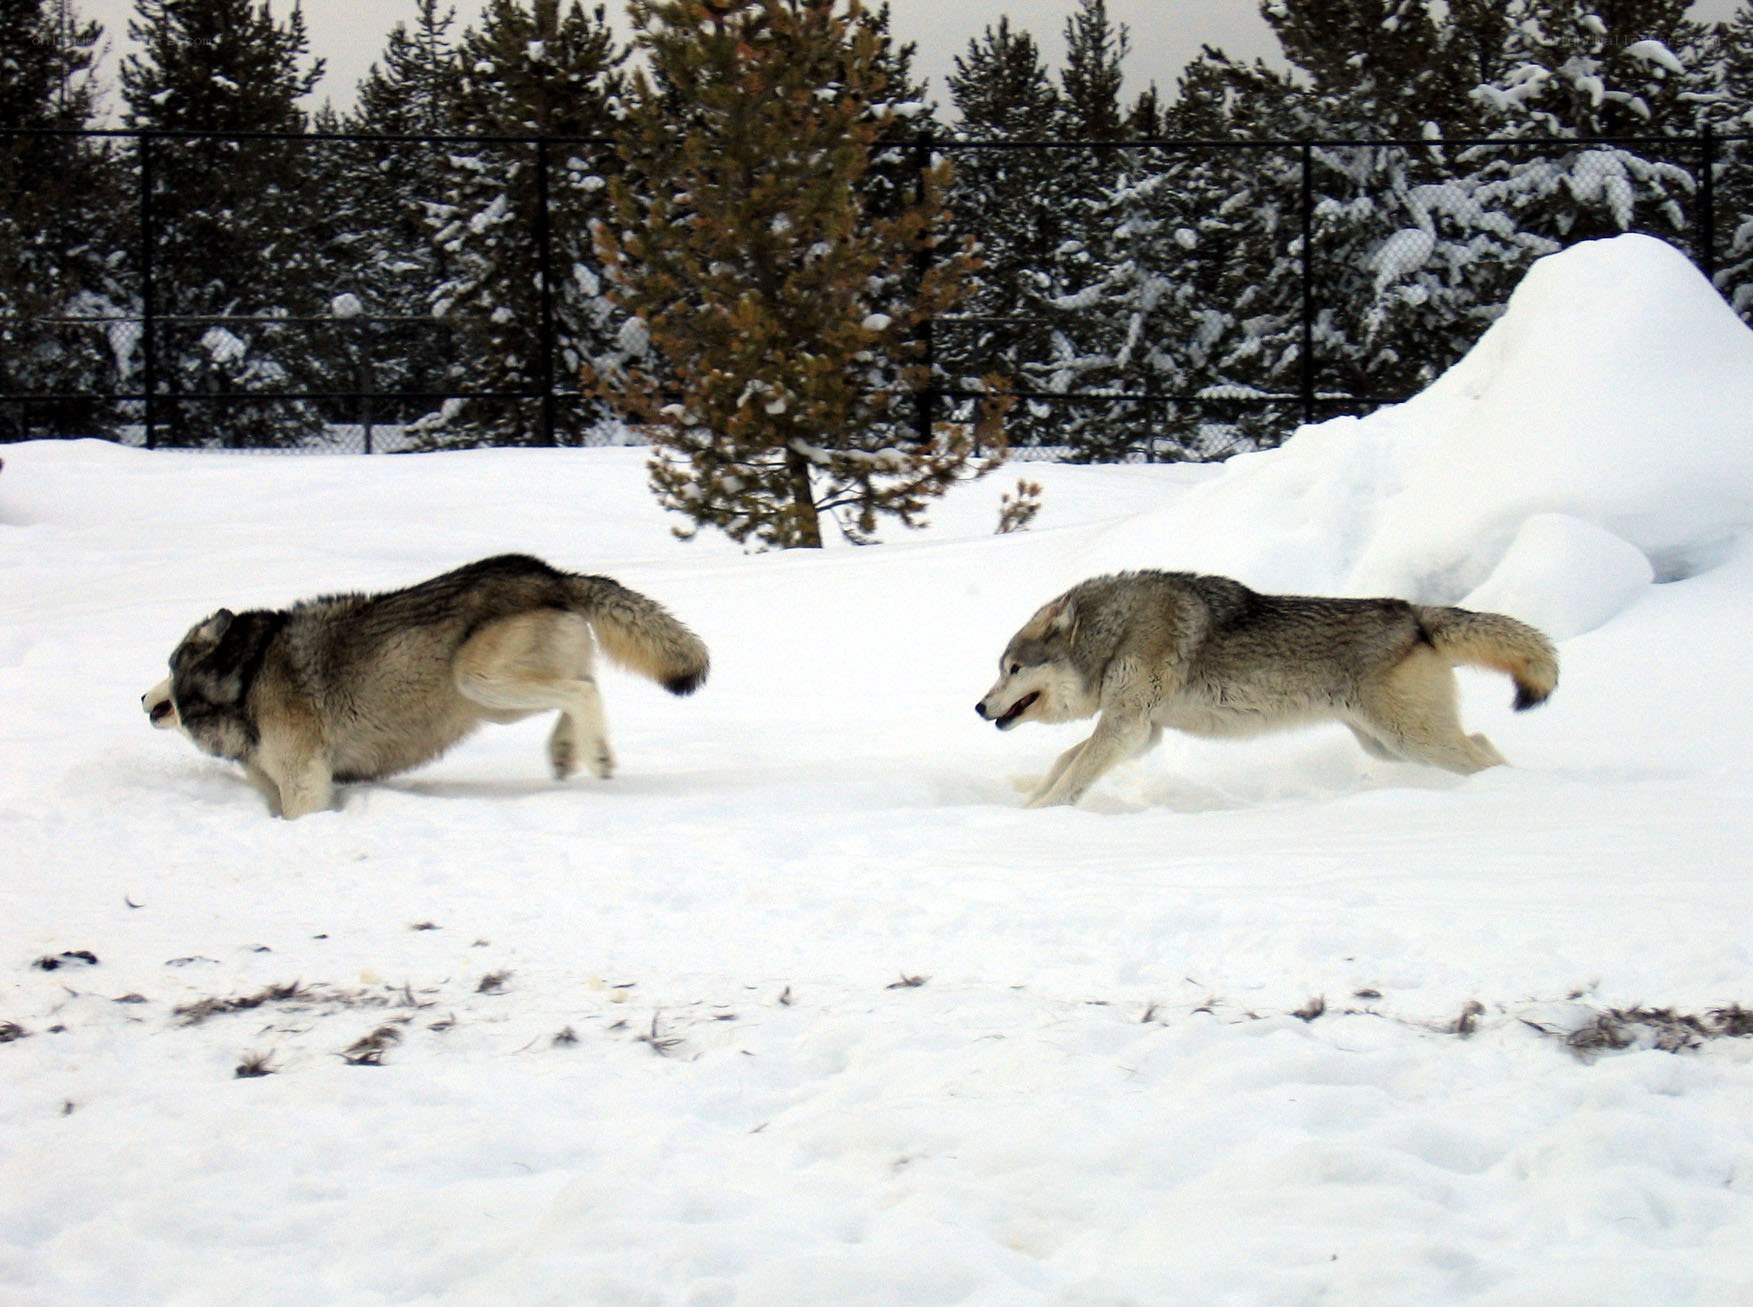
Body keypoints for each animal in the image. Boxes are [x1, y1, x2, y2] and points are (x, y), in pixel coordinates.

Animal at [143, 554, 709, 819]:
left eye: (168, 664)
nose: (143, 698)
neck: (245, 676)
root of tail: (551, 573)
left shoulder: (305, 781)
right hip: (495, 702)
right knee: (580, 686)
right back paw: (568, 752)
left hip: (477, 681)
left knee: (580, 691)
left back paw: (597, 757)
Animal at [976, 570, 1559, 809]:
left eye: (1012, 669)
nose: (979, 707)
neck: (1115, 633)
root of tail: (1415, 614)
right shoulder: (1142, 733)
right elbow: (1064, 762)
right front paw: (1030, 800)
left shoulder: (1125, 726)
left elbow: (1074, 772)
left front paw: (1038, 816)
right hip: (1387, 746)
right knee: (1482, 743)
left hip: (1412, 739)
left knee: (1482, 753)